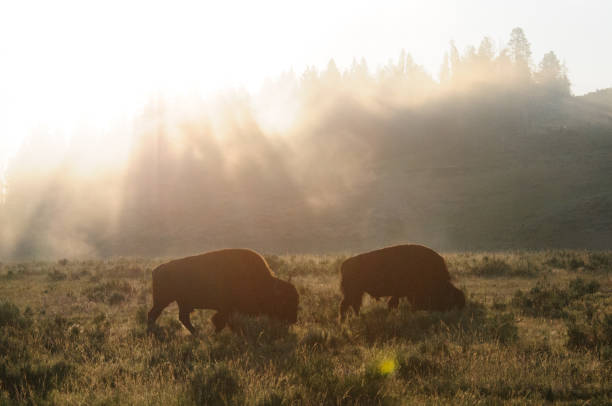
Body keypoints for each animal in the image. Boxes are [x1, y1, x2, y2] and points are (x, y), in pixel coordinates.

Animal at [149, 249, 300, 334]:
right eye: (285, 301)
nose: (293, 319)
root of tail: (157, 269)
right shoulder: (226, 308)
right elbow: (221, 322)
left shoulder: (229, 309)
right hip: (163, 300)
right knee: (153, 315)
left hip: (182, 303)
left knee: (182, 318)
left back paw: (197, 334)